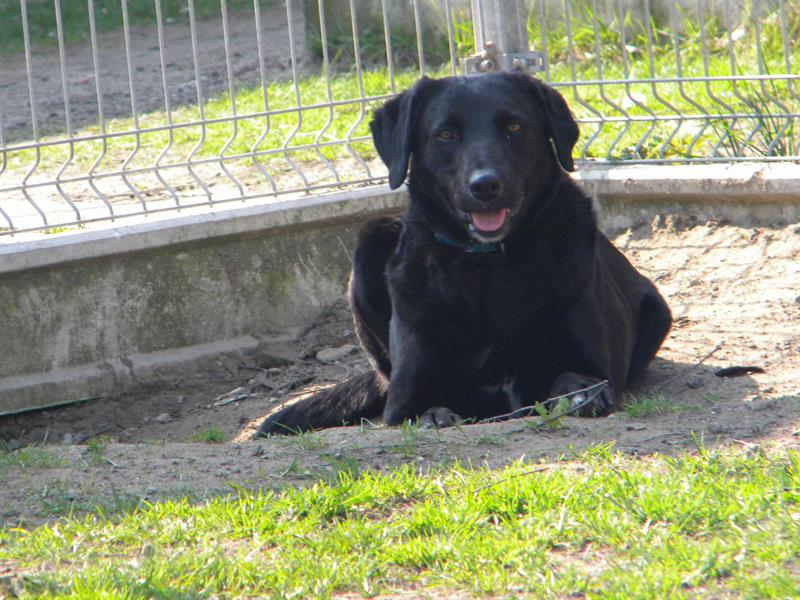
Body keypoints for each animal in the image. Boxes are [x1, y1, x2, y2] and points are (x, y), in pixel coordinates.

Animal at [255, 72, 671, 435]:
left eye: (515, 127)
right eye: (445, 134)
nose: (485, 185)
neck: (486, 266)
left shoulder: (589, 362)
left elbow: (577, 379)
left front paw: (579, 396)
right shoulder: (406, 399)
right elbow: (425, 408)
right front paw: (437, 417)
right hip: (371, 240)